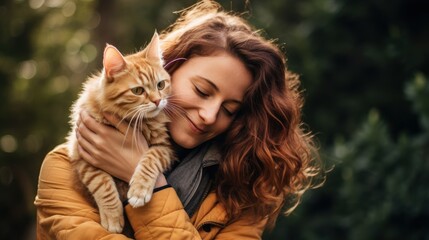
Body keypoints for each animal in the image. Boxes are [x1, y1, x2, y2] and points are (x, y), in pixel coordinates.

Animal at [66, 31, 173, 232]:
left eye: (161, 85)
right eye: (137, 90)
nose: (157, 101)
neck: (134, 122)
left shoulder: (164, 148)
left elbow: (150, 160)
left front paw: (139, 189)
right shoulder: (81, 153)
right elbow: (102, 184)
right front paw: (113, 217)